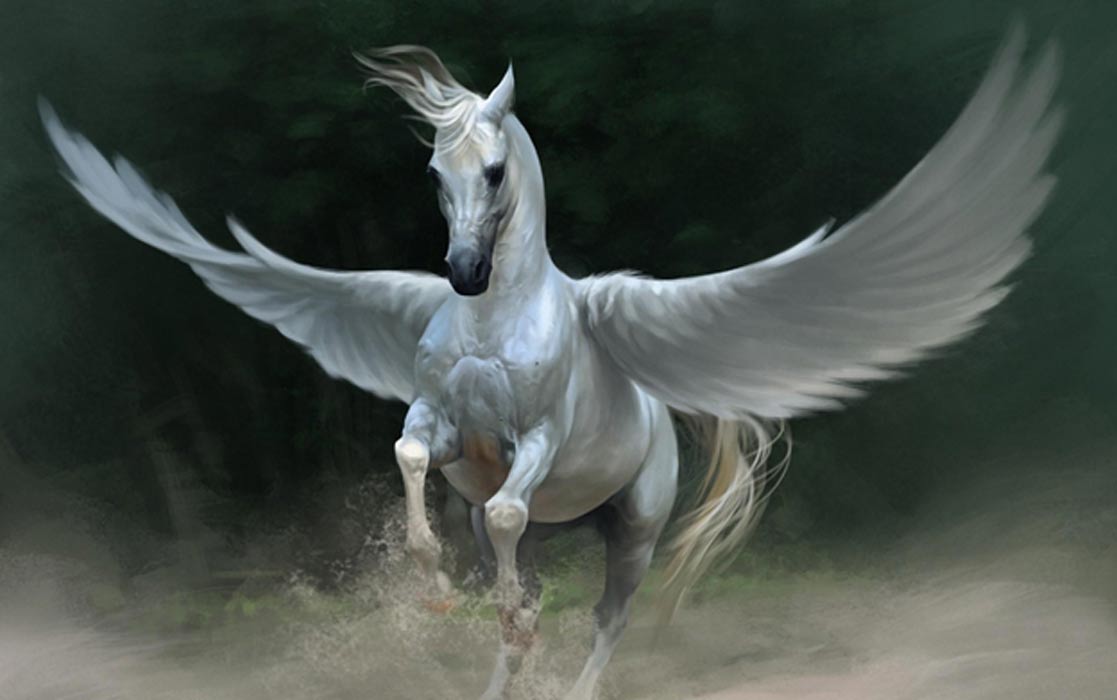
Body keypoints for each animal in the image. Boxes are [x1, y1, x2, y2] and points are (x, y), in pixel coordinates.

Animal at [40, 25, 1059, 700]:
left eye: (494, 172)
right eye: (434, 173)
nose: (461, 271)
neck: (496, 319)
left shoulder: (533, 440)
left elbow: (508, 512)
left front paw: (481, 607)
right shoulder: (443, 428)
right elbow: (419, 467)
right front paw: (436, 592)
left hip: (633, 530)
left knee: (604, 616)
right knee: (521, 566)